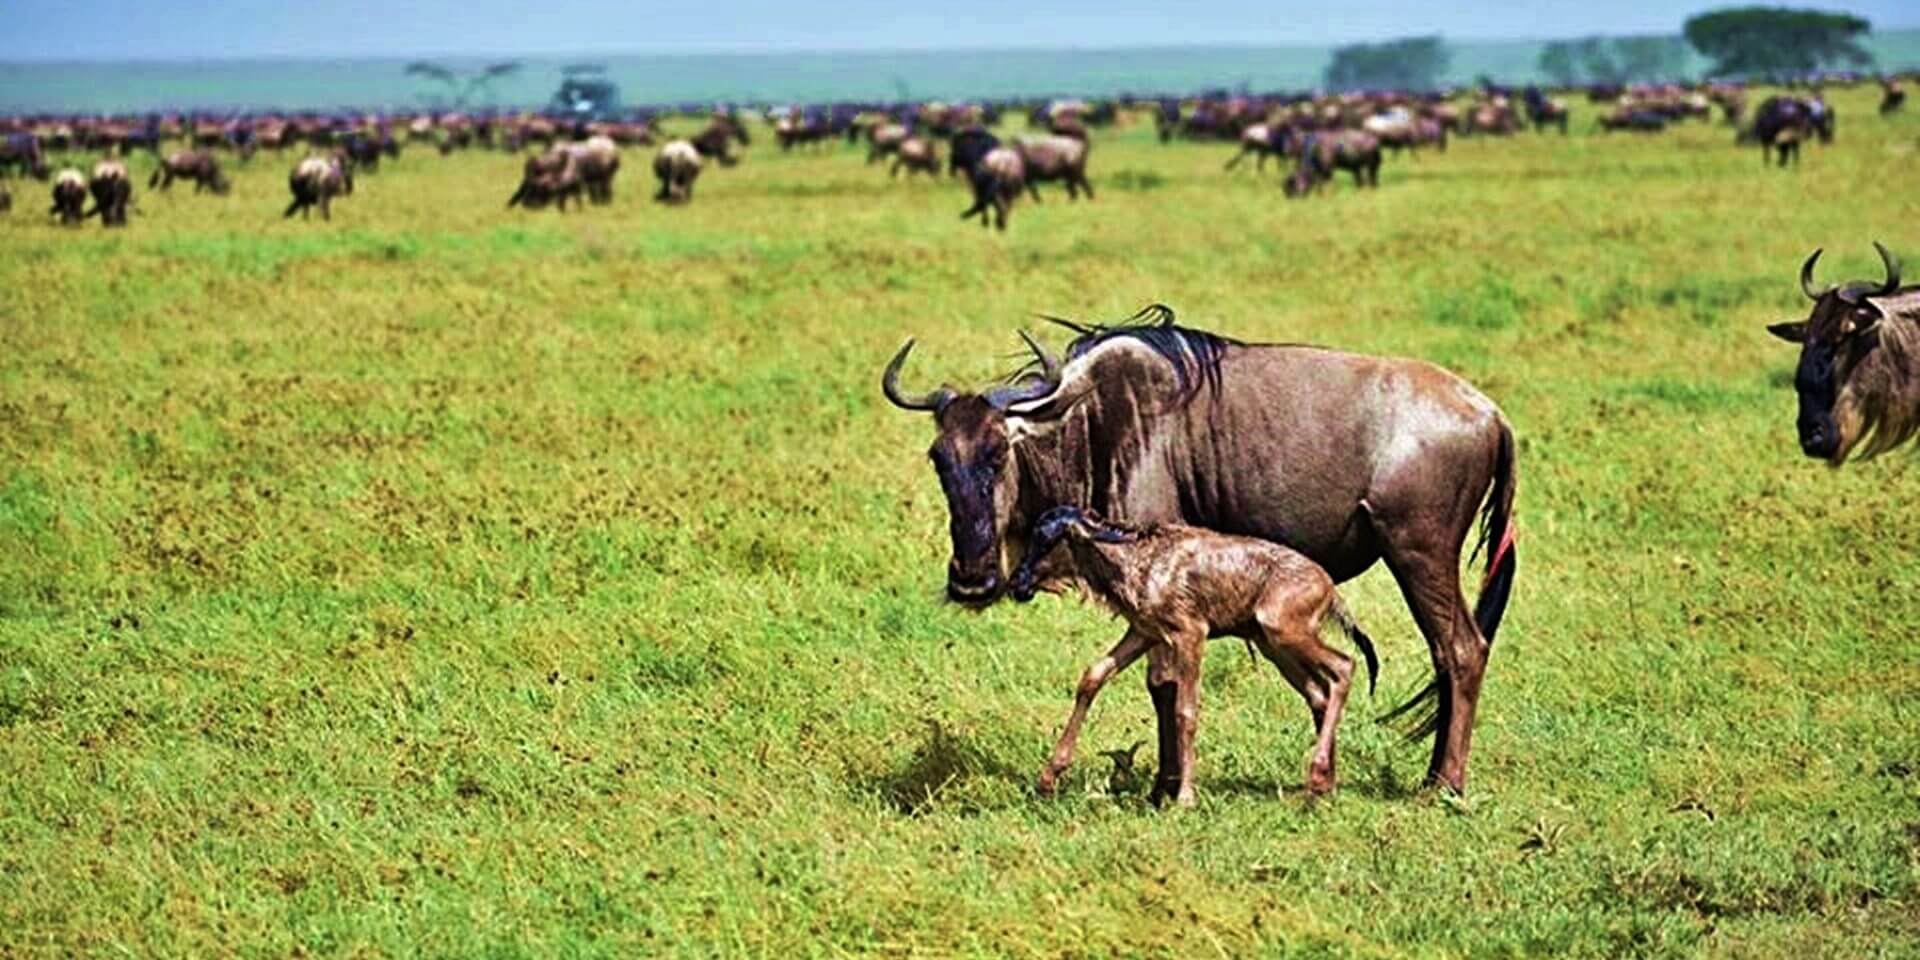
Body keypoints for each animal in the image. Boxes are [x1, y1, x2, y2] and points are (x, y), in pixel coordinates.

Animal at [1013, 506, 1374, 806]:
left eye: (1046, 540)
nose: (1018, 584)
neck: (1139, 561)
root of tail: (1329, 588)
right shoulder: (1143, 632)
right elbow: (1093, 676)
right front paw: (1048, 776)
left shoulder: (1190, 634)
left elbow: (1185, 711)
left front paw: (1185, 797)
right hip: (1273, 646)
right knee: (1318, 692)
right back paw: (1324, 785)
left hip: (1287, 633)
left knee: (1345, 666)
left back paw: (1317, 774)